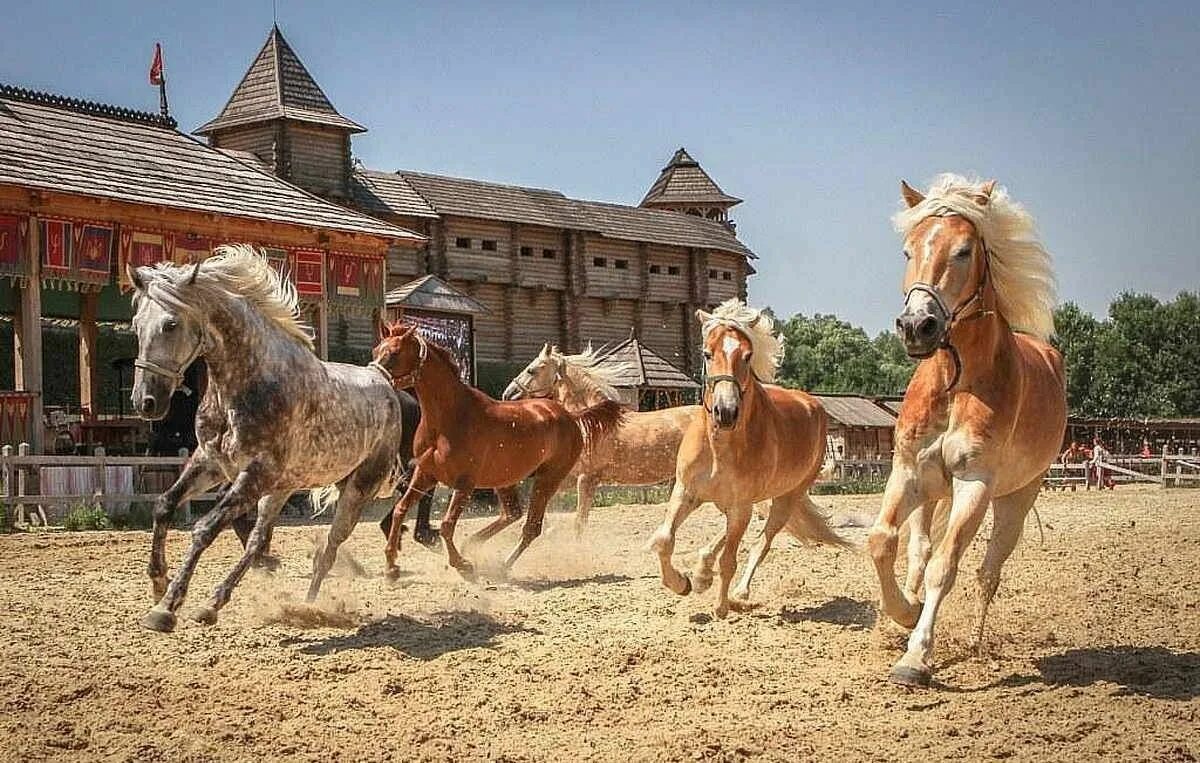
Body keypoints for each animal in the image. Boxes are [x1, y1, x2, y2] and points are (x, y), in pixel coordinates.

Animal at [129, 244, 412, 633]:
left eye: (170, 324)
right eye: (136, 325)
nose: (145, 402)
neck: (247, 383)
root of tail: (383, 379)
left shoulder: (256, 473)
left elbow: (205, 528)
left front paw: (167, 607)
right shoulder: (211, 462)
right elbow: (165, 504)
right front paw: (158, 582)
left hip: (357, 488)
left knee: (328, 548)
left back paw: (308, 606)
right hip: (281, 489)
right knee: (259, 541)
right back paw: (214, 604)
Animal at [369, 321, 624, 578]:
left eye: (394, 353)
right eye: (376, 350)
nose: (374, 382)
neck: (448, 419)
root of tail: (571, 416)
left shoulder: (465, 483)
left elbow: (447, 525)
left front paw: (463, 565)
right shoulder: (424, 474)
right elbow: (400, 510)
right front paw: (391, 566)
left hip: (549, 479)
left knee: (532, 526)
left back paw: (501, 566)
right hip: (505, 480)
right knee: (513, 514)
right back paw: (473, 546)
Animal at [504, 340, 700, 537]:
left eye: (531, 370)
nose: (507, 394)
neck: (591, 422)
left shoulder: (586, 479)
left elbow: (579, 523)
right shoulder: (568, 477)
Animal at [652, 297, 849, 619]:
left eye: (747, 355)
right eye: (707, 353)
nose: (726, 412)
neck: (720, 447)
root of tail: (812, 403)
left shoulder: (741, 506)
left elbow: (730, 560)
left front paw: (721, 607)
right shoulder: (686, 491)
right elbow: (663, 540)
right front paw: (682, 583)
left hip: (785, 499)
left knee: (761, 543)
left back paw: (738, 593)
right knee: (725, 537)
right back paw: (703, 573)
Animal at [864, 176, 1070, 686]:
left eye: (963, 251)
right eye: (908, 250)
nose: (917, 325)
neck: (955, 382)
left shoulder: (974, 485)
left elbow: (946, 566)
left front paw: (916, 657)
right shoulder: (908, 473)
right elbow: (882, 542)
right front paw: (902, 613)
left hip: (1015, 501)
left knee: (987, 572)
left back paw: (975, 643)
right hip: (931, 494)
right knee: (917, 548)